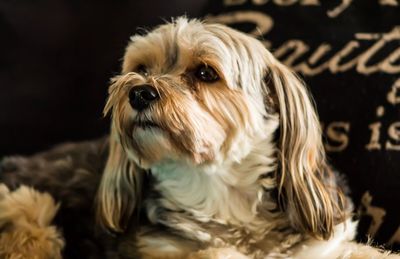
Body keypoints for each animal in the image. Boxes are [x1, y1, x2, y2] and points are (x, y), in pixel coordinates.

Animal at [0, 17, 396, 258]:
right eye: (141, 68)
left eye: (206, 73)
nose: (139, 92)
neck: (221, 194)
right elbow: (216, 252)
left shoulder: (323, 246)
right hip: (31, 208)